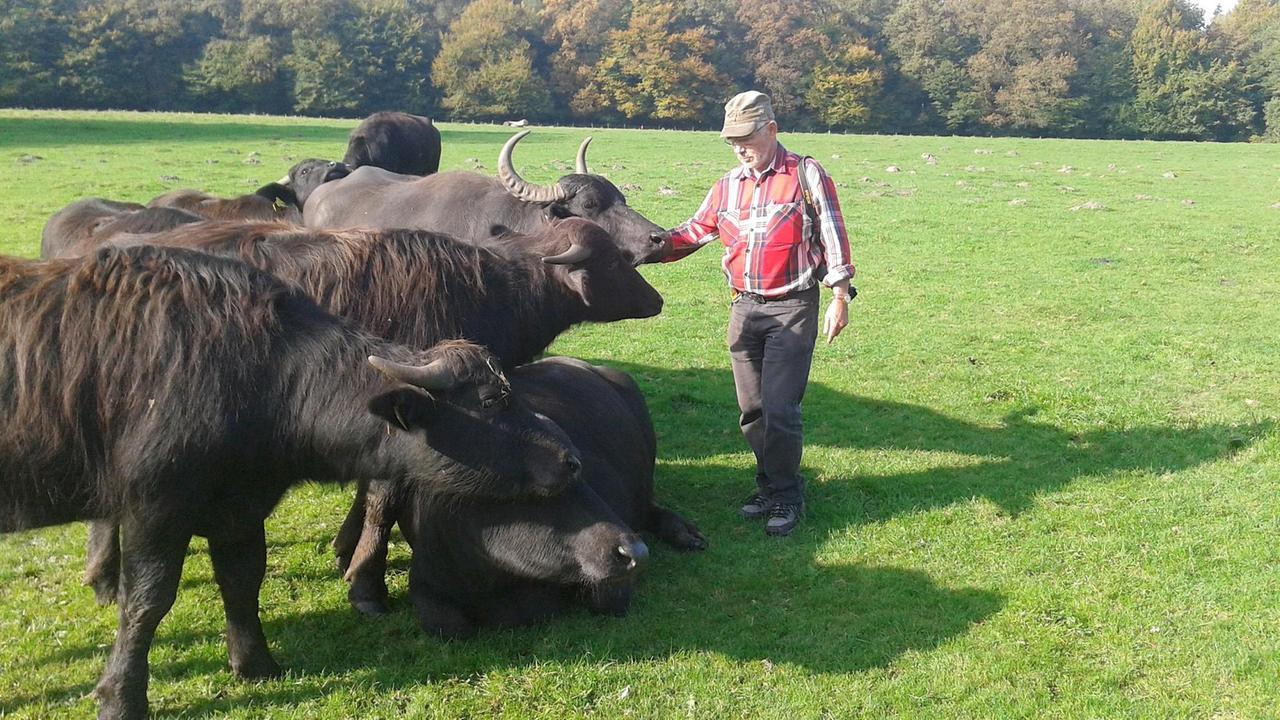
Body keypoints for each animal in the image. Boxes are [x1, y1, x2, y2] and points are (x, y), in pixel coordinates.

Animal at [0, 243, 581, 712]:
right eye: (491, 401)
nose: (571, 458)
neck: (259, 374)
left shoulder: (239, 507)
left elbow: (243, 579)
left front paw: (255, 664)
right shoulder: (154, 507)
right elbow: (146, 601)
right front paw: (121, 696)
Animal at [391, 356, 706, 635]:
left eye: (581, 474)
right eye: (543, 488)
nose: (636, 552)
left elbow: (607, 600)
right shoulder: (426, 579)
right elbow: (446, 625)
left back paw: (686, 534)